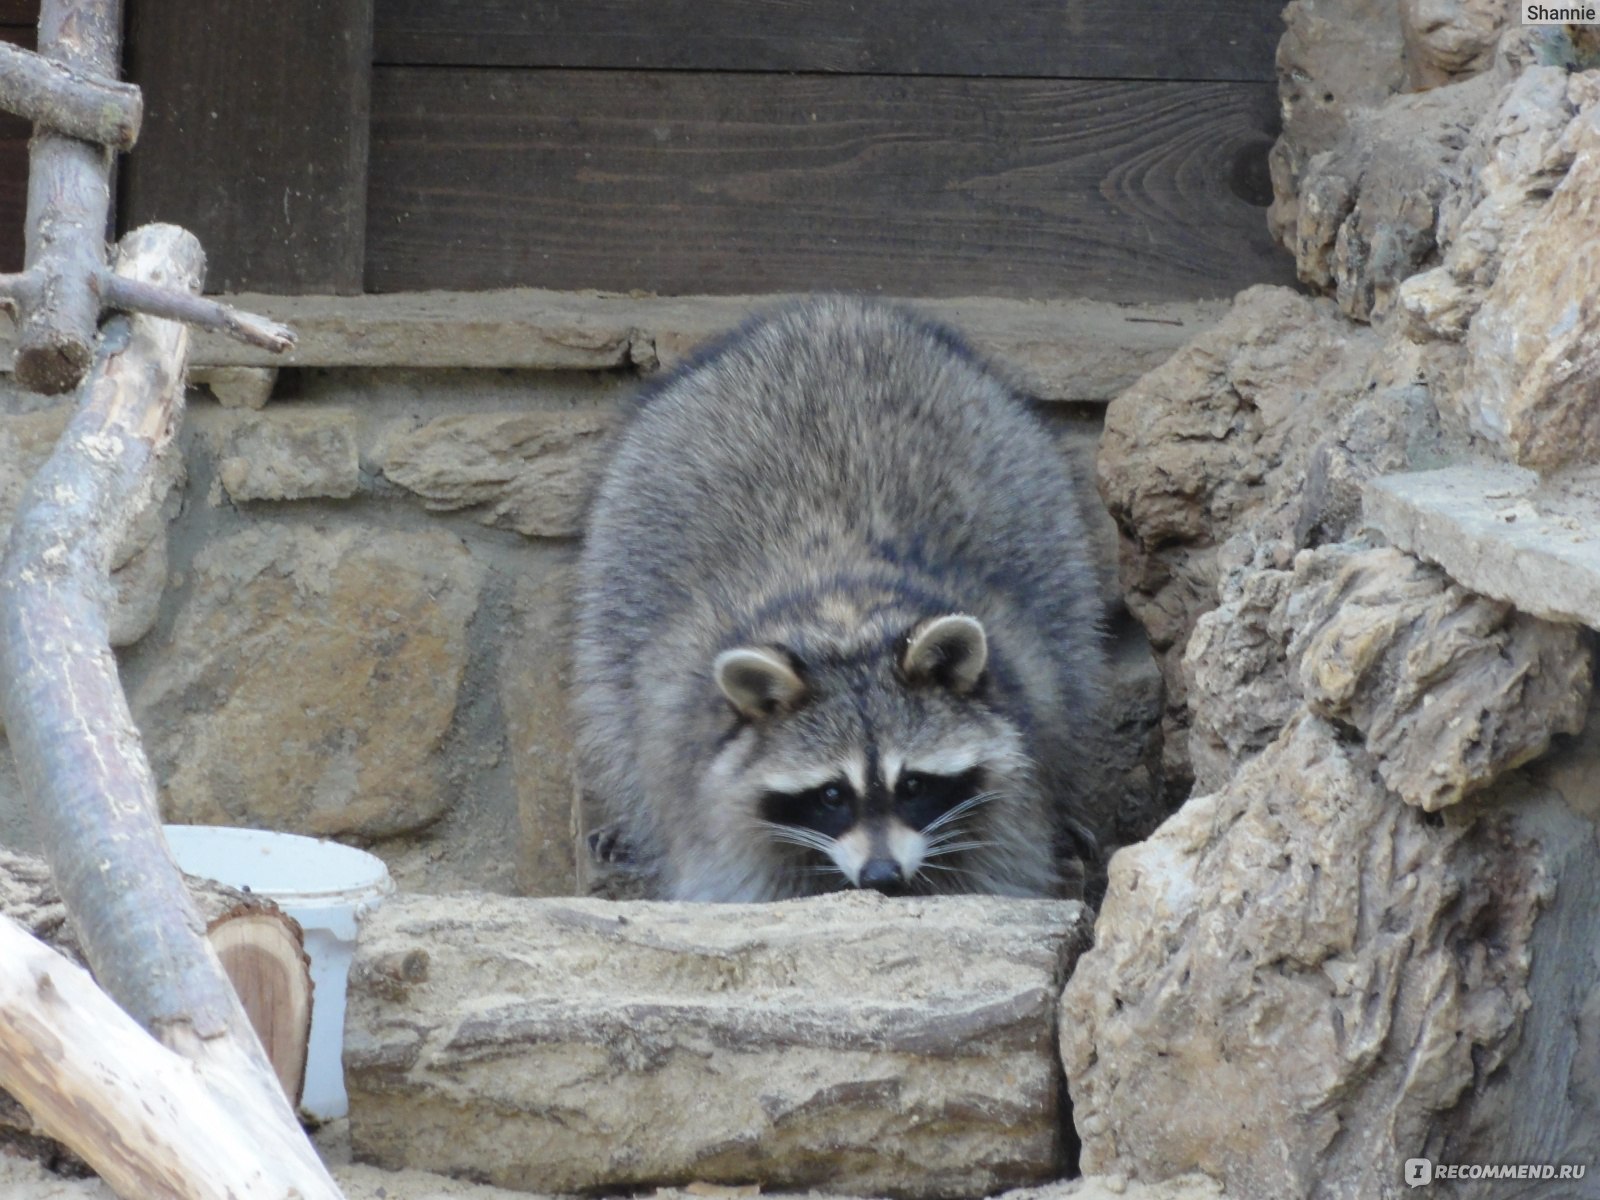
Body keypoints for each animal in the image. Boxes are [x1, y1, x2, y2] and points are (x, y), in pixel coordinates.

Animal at [569, 299, 1107, 902]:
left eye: (913, 785)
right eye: (831, 795)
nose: (882, 878)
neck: (843, 612)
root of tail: (835, 311)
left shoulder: (1019, 733)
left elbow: (998, 854)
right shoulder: (692, 752)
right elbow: (737, 869)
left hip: (1048, 523)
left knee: (1074, 649)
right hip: (617, 565)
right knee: (613, 702)